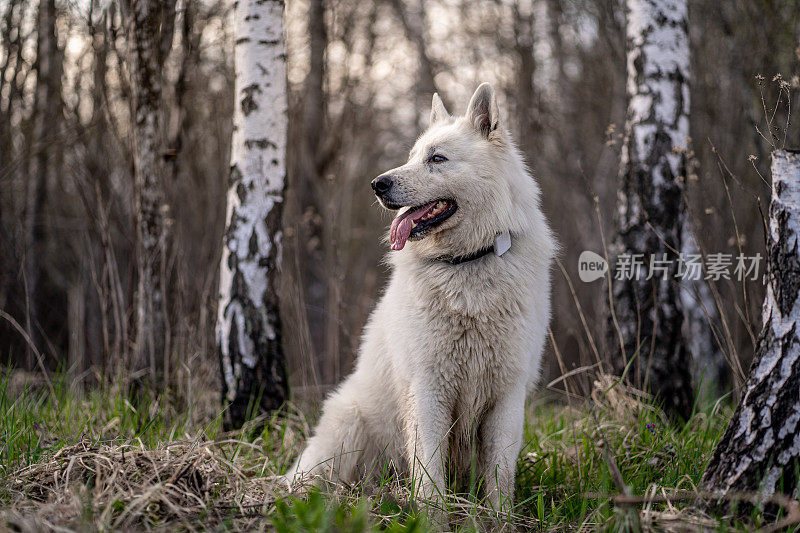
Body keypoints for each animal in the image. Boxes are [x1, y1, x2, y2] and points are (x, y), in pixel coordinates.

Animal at [288, 81, 556, 510]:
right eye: (412, 156)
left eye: (437, 158)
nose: (377, 184)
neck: (466, 264)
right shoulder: (428, 390)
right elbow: (430, 477)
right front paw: (433, 517)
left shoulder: (507, 397)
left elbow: (499, 479)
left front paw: (497, 519)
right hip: (348, 424)